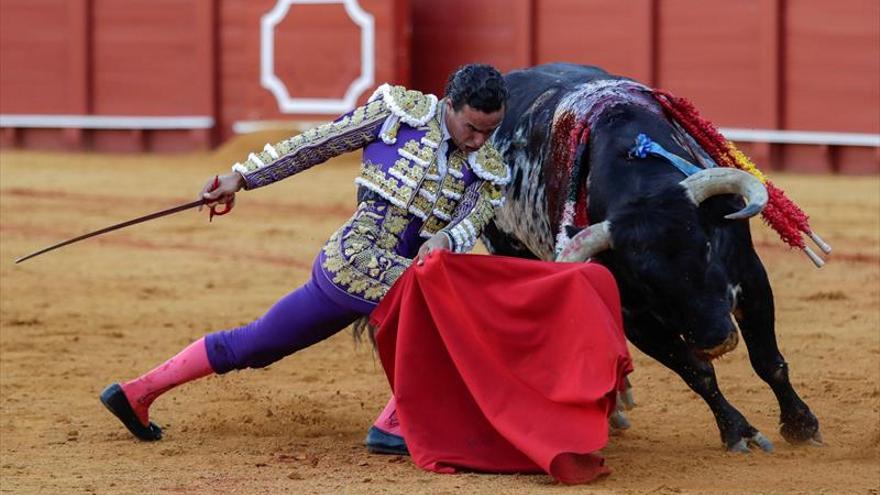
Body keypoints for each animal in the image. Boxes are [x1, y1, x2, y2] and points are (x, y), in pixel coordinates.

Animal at [482, 63, 820, 454]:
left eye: (707, 246)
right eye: (645, 280)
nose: (715, 339)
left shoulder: (750, 275)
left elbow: (767, 360)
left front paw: (800, 424)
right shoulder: (639, 320)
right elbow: (698, 373)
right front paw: (739, 432)